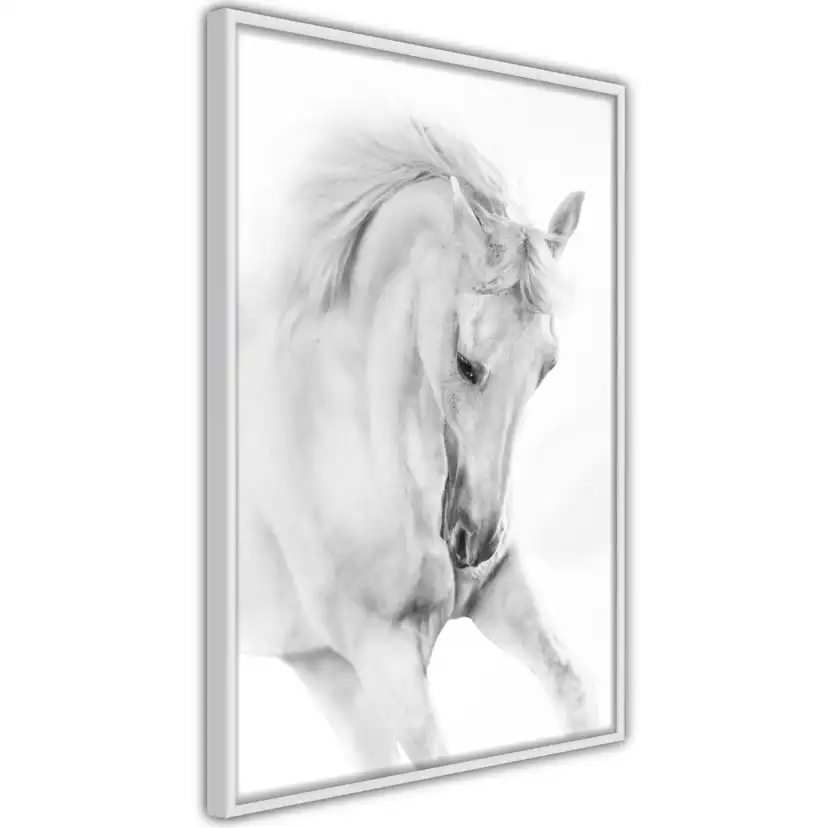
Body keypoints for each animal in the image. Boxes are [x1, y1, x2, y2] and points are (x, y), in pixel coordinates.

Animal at [238, 119, 598, 774]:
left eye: (548, 366)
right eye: (466, 362)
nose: (474, 541)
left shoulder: (501, 592)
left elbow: (571, 684)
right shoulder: (383, 660)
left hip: (321, 669)